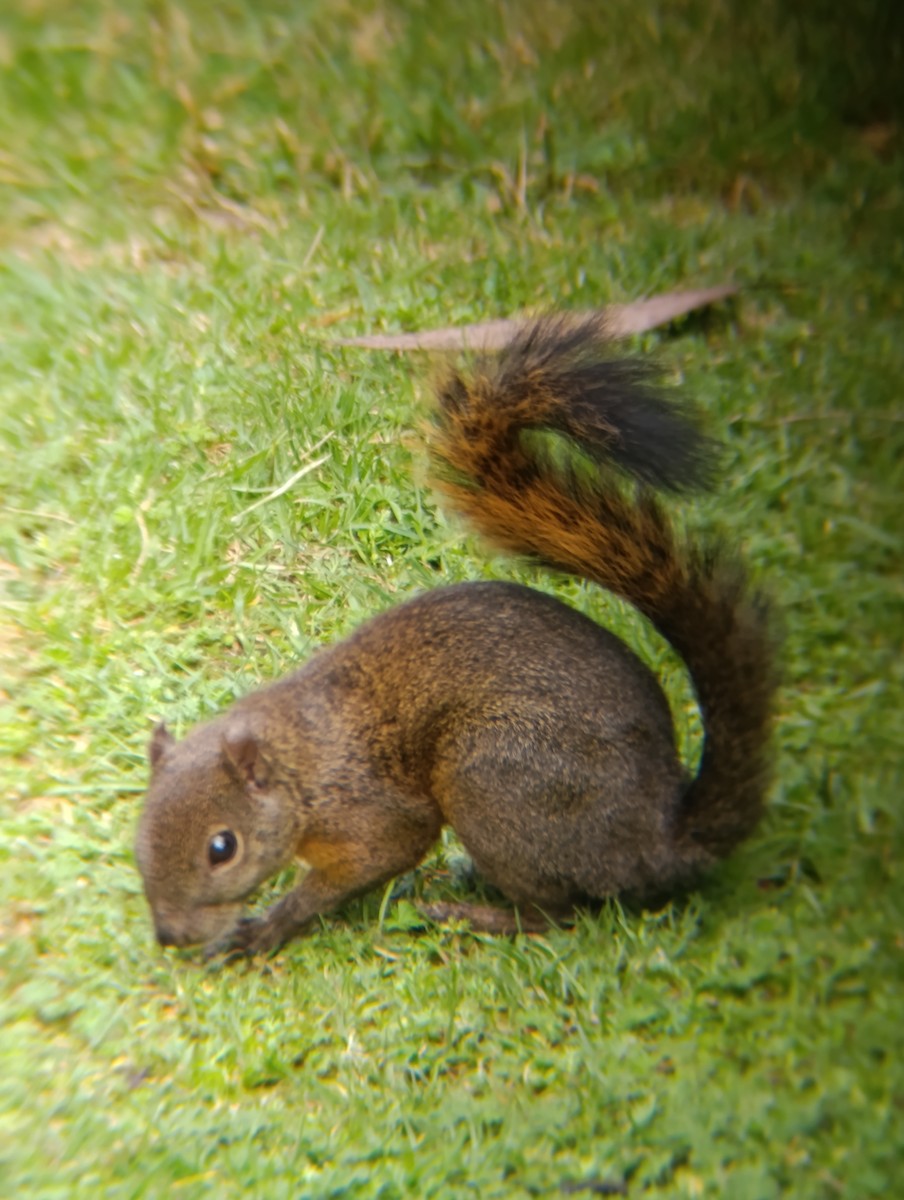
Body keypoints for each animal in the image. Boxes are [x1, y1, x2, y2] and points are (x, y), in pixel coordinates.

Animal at [135, 315, 776, 956]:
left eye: (222, 848)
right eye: (139, 836)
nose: (169, 936)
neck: (298, 764)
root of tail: (660, 837)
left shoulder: (370, 811)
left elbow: (382, 852)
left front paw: (269, 926)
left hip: (492, 781)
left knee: (559, 913)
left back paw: (473, 913)